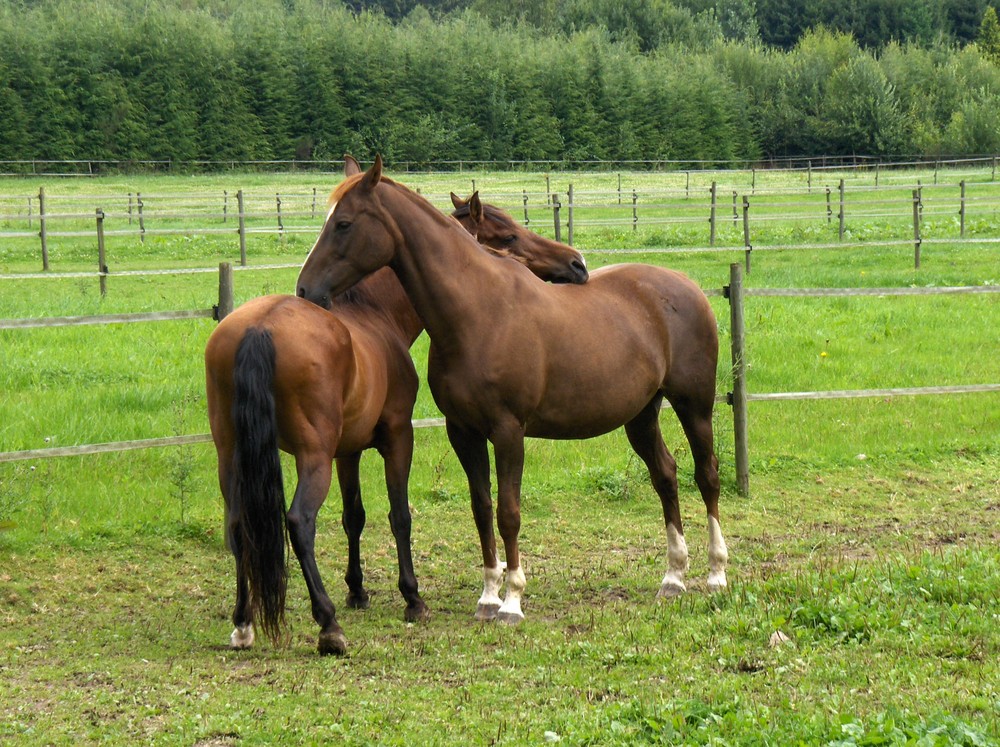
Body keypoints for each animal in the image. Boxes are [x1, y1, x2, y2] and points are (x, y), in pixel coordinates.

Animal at [207, 156, 588, 656]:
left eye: (341, 223)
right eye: (506, 236)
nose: (576, 264)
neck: (374, 312)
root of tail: (259, 329)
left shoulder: (347, 452)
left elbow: (354, 517)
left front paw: (357, 591)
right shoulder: (396, 437)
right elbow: (399, 515)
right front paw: (412, 598)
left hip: (233, 456)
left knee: (238, 526)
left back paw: (243, 623)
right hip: (311, 457)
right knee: (299, 522)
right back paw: (328, 625)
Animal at [292, 156, 732, 624]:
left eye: (343, 224)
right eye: (506, 236)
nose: (306, 290)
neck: (478, 313)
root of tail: (687, 285)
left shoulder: (508, 432)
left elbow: (509, 512)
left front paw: (512, 601)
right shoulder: (463, 432)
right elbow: (482, 508)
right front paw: (488, 596)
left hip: (694, 406)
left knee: (707, 475)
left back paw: (716, 574)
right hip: (642, 415)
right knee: (665, 475)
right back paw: (673, 577)